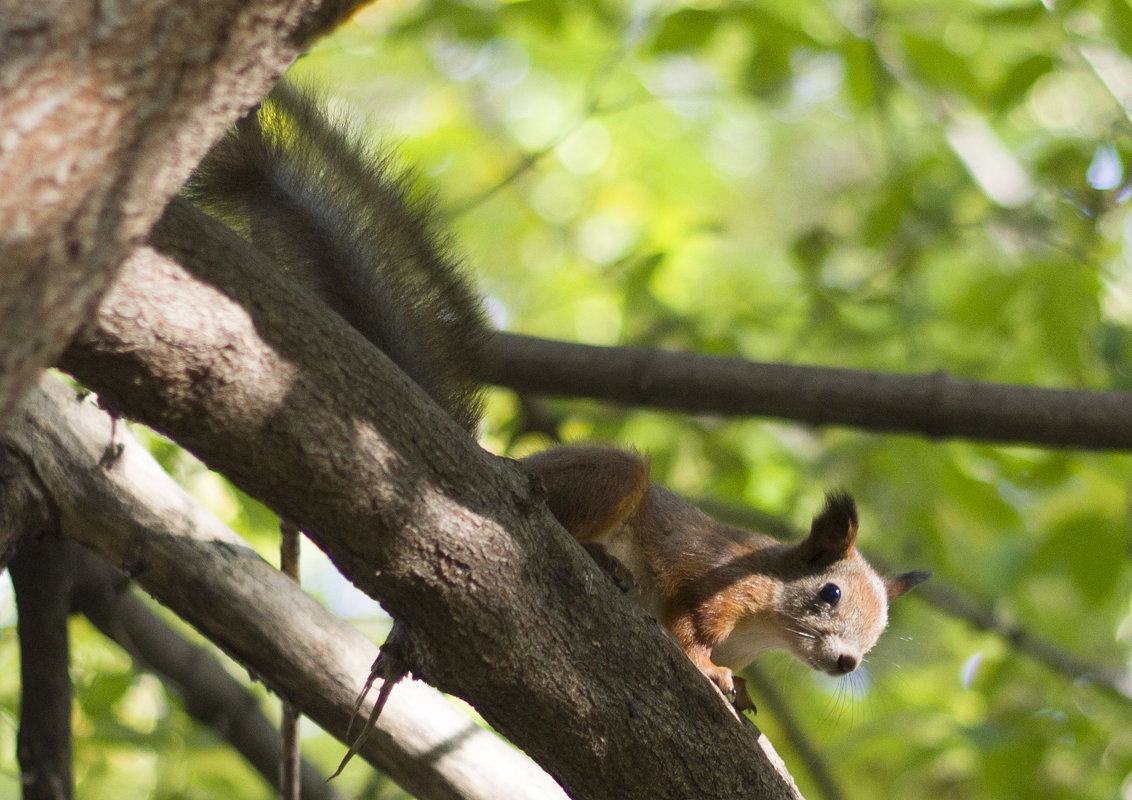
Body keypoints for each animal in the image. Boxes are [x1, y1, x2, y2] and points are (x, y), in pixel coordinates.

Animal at [520, 448, 928, 710]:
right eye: (831, 592)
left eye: (882, 629)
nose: (848, 662)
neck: (764, 632)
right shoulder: (712, 580)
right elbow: (691, 626)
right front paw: (711, 668)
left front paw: (743, 687)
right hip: (611, 476)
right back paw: (604, 559)